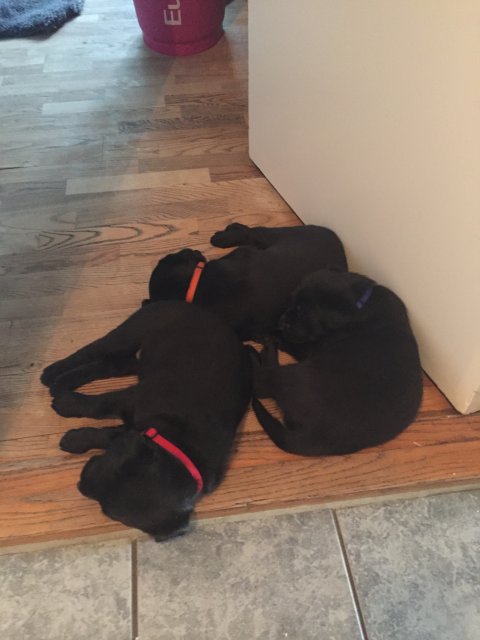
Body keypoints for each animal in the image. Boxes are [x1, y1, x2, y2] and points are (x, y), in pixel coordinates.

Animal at [41, 301, 251, 541]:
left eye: (109, 513)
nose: (80, 484)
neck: (179, 443)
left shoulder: (133, 427)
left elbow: (107, 433)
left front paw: (74, 439)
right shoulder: (132, 397)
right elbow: (98, 405)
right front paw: (66, 408)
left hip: (133, 359)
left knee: (110, 365)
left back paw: (62, 381)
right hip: (130, 332)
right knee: (91, 351)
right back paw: (54, 375)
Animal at [250, 269, 423, 455]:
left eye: (302, 311)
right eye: (291, 302)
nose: (281, 322)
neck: (361, 304)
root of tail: (319, 436)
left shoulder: (311, 346)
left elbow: (292, 342)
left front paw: (268, 333)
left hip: (295, 376)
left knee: (261, 385)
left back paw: (260, 352)